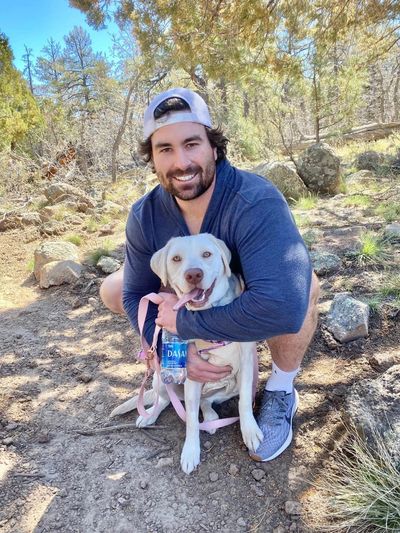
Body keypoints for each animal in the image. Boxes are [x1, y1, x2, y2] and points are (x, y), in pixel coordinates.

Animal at [111, 234, 262, 474]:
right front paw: (191, 451)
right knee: (166, 400)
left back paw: (210, 417)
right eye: (176, 258)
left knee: (206, 402)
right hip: (161, 378)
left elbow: (245, 402)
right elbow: (190, 418)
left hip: (229, 386)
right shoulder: (192, 374)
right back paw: (150, 416)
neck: (208, 315)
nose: (193, 274)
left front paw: (249, 430)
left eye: (207, 254)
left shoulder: (247, 365)